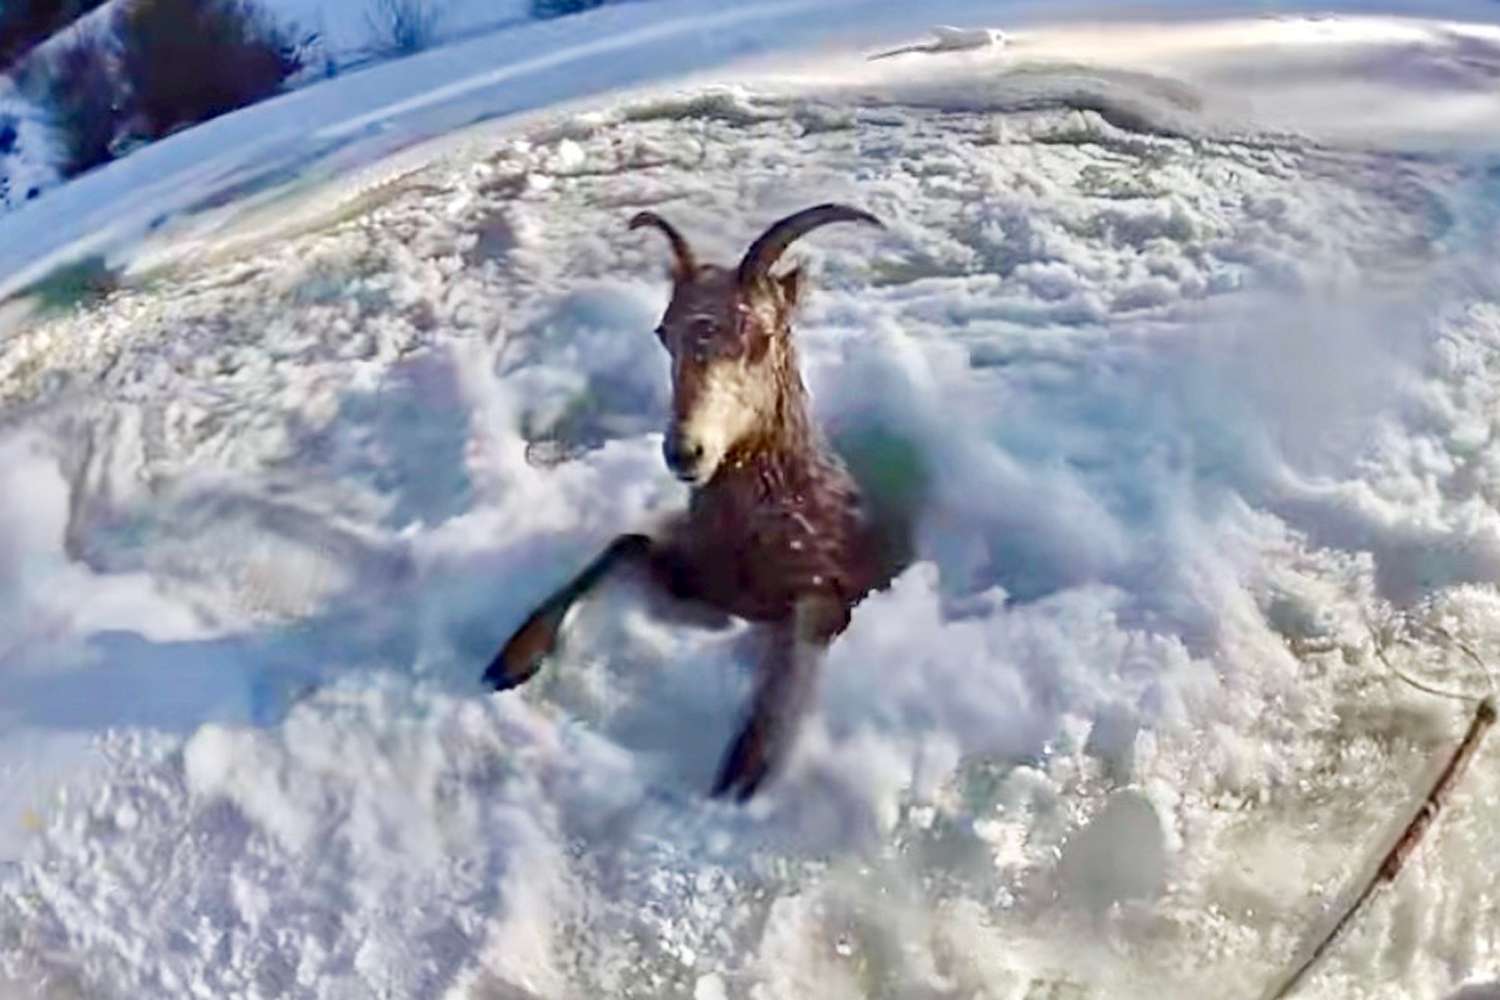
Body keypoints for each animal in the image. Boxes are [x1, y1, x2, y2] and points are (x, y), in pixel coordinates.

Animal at [483, 203, 903, 801]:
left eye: (764, 333)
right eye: (664, 332)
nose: (686, 451)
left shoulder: (827, 584)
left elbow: (807, 623)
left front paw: (747, 764)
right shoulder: (694, 574)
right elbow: (625, 542)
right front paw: (514, 658)